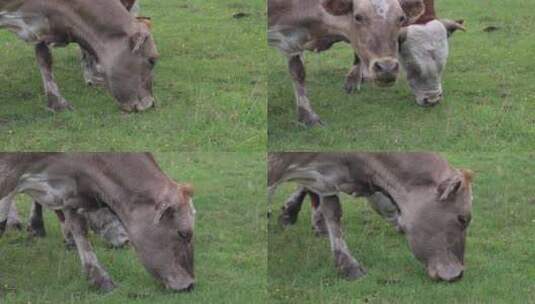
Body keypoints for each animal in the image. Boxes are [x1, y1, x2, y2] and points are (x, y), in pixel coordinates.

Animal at [0, 154, 197, 292]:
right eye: (184, 233)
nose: (190, 284)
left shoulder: (70, 190)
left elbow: (80, 230)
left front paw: (100, 279)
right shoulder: (9, 172)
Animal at [268, 0, 428, 126]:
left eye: (401, 18)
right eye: (358, 17)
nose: (387, 69)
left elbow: (298, 73)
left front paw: (307, 116)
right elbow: (298, 72)